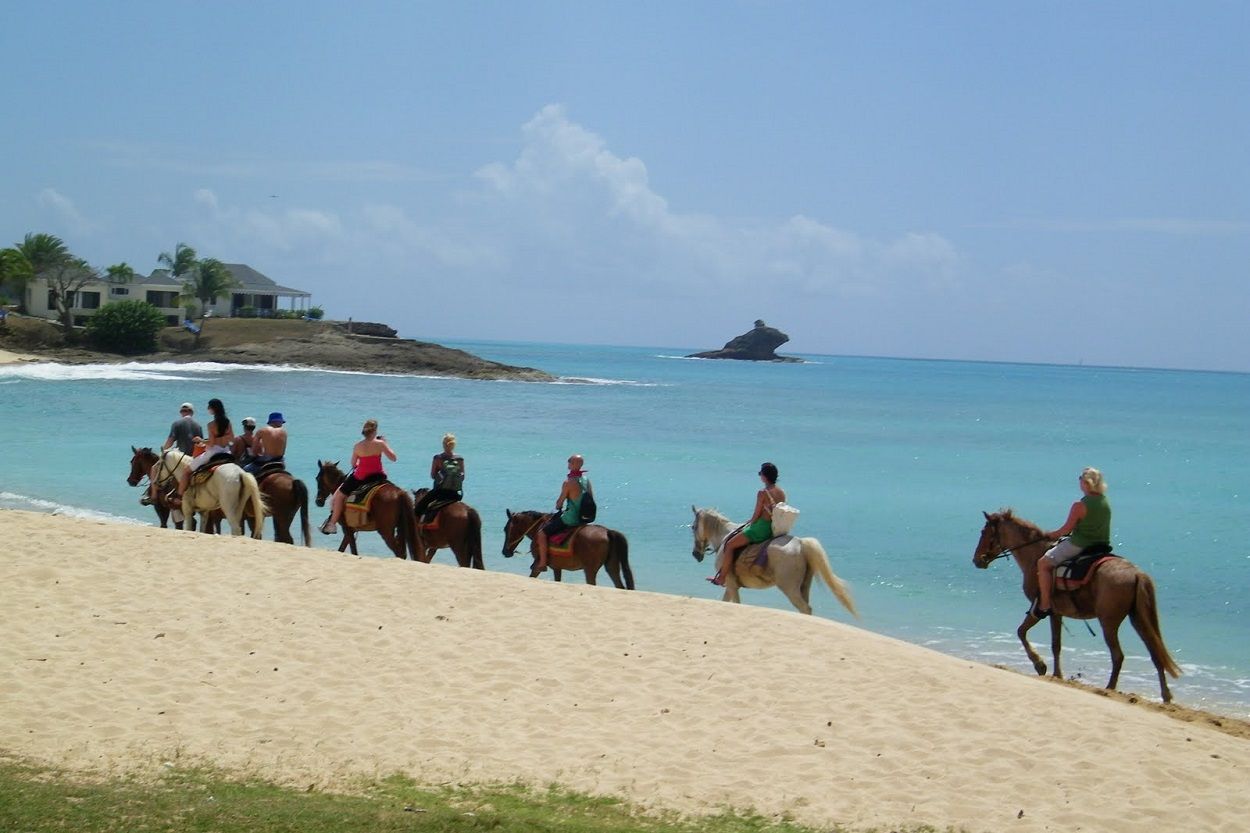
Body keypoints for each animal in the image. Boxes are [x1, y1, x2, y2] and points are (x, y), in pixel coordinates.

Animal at [500, 505, 635, 582]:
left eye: (506, 529)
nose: (505, 552)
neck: (539, 528)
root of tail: (607, 532)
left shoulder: (537, 565)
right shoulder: (557, 567)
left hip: (590, 570)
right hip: (612, 568)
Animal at [690, 505, 855, 615]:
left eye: (693, 527)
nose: (695, 554)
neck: (724, 537)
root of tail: (800, 544)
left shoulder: (731, 584)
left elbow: (736, 603)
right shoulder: (732, 586)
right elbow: (726, 602)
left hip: (790, 588)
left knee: (805, 608)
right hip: (804, 586)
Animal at [965, 505, 1180, 700]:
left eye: (984, 532)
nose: (977, 560)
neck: (1036, 556)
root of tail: (1136, 574)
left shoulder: (1042, 609)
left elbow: (1025, 633)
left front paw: (1041, 665)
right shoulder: (1057, 613)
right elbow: (1056, 644)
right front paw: (1054, 672)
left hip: (1109, 622)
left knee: (1118, 655)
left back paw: (1109, 688)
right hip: (1138, 619)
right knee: (1155, 653)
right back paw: (1166, 695)